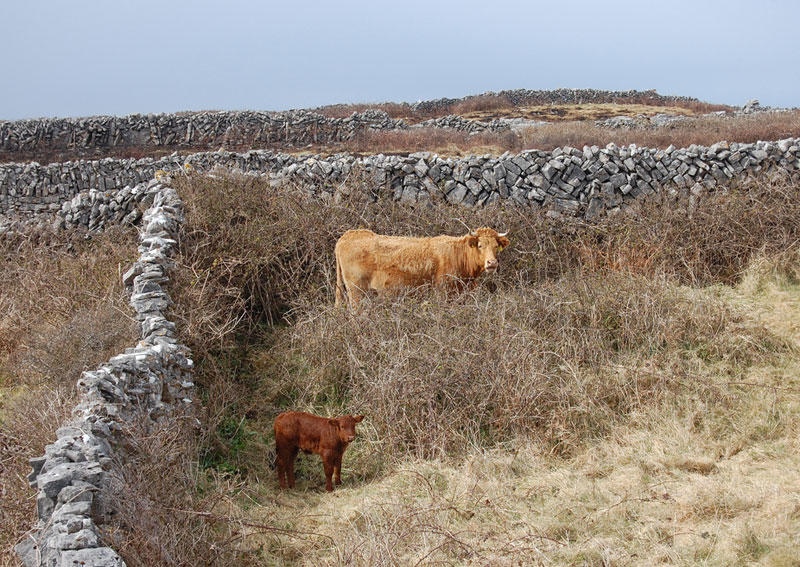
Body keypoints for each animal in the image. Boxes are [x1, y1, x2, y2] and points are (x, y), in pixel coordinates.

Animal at [334, 226, 510, 306]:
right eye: (480, 245)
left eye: (496, 246)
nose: (492, 263)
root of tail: (347, 236)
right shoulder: (443, 293)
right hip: (357, 292)